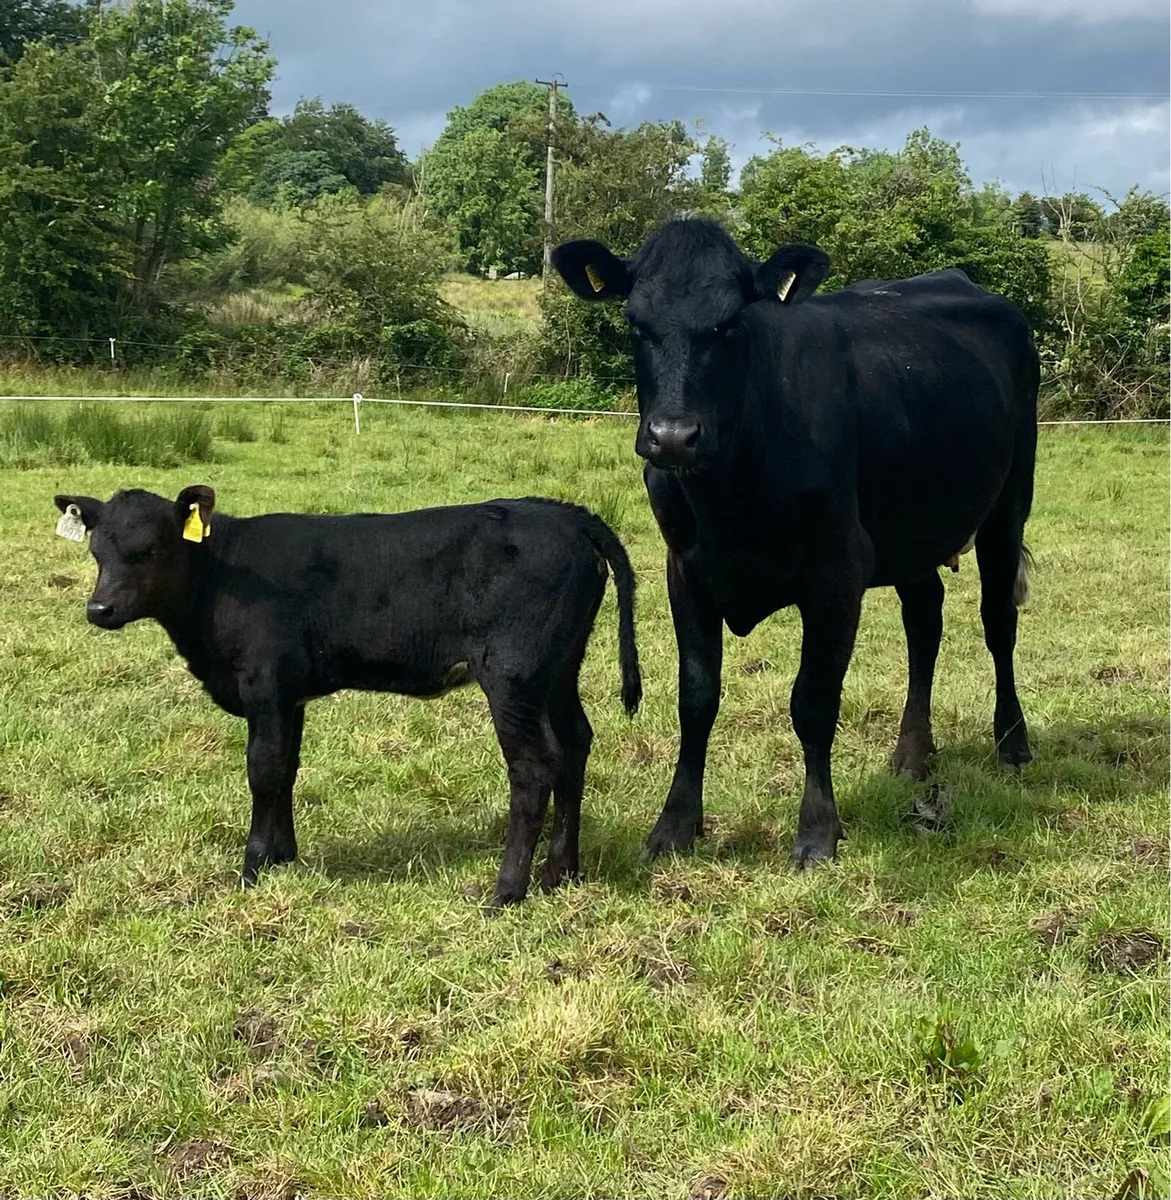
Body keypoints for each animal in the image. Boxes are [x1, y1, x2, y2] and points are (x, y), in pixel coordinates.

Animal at [52, 487, 641, 907]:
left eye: (149, 549)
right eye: (96, 551)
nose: (99, 610)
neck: (219, 577)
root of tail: (563, 514)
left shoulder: (265, 683)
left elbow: (263, 768)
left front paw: (252, 866)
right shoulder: (289, 695)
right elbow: (287, 768)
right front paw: (283, 857)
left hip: (513, 674)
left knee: (533, 769)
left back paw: (507, 890)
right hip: (557, 671)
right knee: (575, 748)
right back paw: (560, 873)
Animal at [553, 216, 1037, 868]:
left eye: (731, 323)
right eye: (635, 321)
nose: (673, 436)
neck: (729, 492)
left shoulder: (836, 571)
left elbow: (814, 701)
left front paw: (817, 831)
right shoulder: (686, 569)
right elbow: (696, 697)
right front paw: (674, 826)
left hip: (1009, 502)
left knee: (997, 621)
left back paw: (1012, 743)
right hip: (910, 527)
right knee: (924, 621)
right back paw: (913, 754)